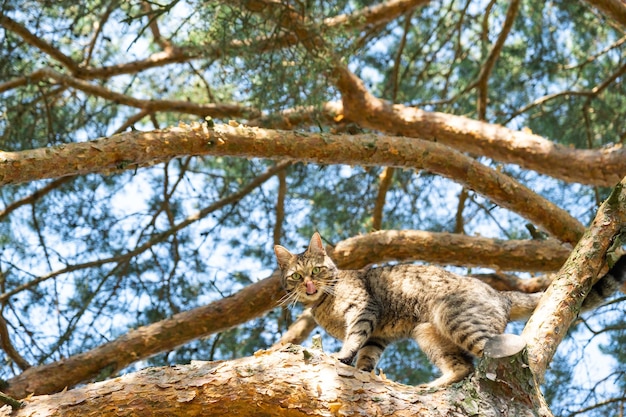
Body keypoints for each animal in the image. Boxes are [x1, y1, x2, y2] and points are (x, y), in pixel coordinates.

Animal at [272, 232, 624, 386]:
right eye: (296, 276)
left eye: (316, 271)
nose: (309, 285)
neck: (322, 304)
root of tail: (500, 294)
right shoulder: (378, 335)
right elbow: (368, 356)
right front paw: (363, 371)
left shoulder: (364, 310)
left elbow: (354, 339)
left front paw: (342, 357)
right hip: (428, 332)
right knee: (463, 366)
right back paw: (434, 385)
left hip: (452, 315)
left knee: (504, 357)